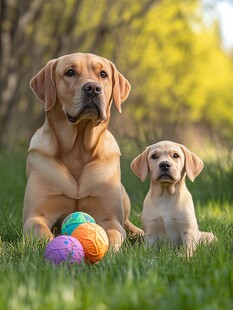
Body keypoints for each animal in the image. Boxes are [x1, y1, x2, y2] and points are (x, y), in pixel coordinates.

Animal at [22, 51, 143, 249]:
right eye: (70, 72)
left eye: (103, 74)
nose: (93, 88)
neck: (77, 147)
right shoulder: (36, 215)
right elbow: (41, 231)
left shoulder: (109, 218)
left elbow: (114, 232)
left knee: (127, 222)